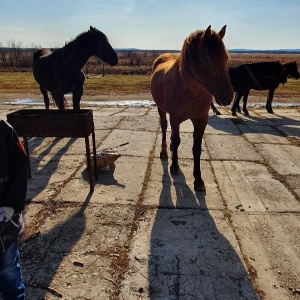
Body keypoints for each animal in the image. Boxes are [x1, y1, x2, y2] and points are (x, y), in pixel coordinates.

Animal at [151, 25, 233, 190]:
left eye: (226, 58)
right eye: (208, 59)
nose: (228, 96)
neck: (190, 91)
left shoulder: (201, 120)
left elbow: (196, 148)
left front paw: (199, 180)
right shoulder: (175, 118)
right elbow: (177, 140)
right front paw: (174, 167)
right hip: (161, 110)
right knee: (164, 127)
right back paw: (164, 151)